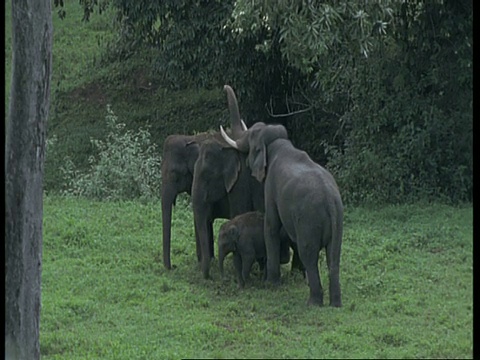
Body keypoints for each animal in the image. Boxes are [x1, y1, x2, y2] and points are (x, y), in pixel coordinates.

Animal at [219, 90, 344, 306]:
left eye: (251, 139)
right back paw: (335, 304)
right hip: (338, 223)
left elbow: (271, 224)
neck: (281, 143)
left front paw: (270, 283)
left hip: (309, 223)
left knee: (309, 254)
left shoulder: (271, 185)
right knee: (333, 256)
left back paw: (313, 302)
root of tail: (330, 201)